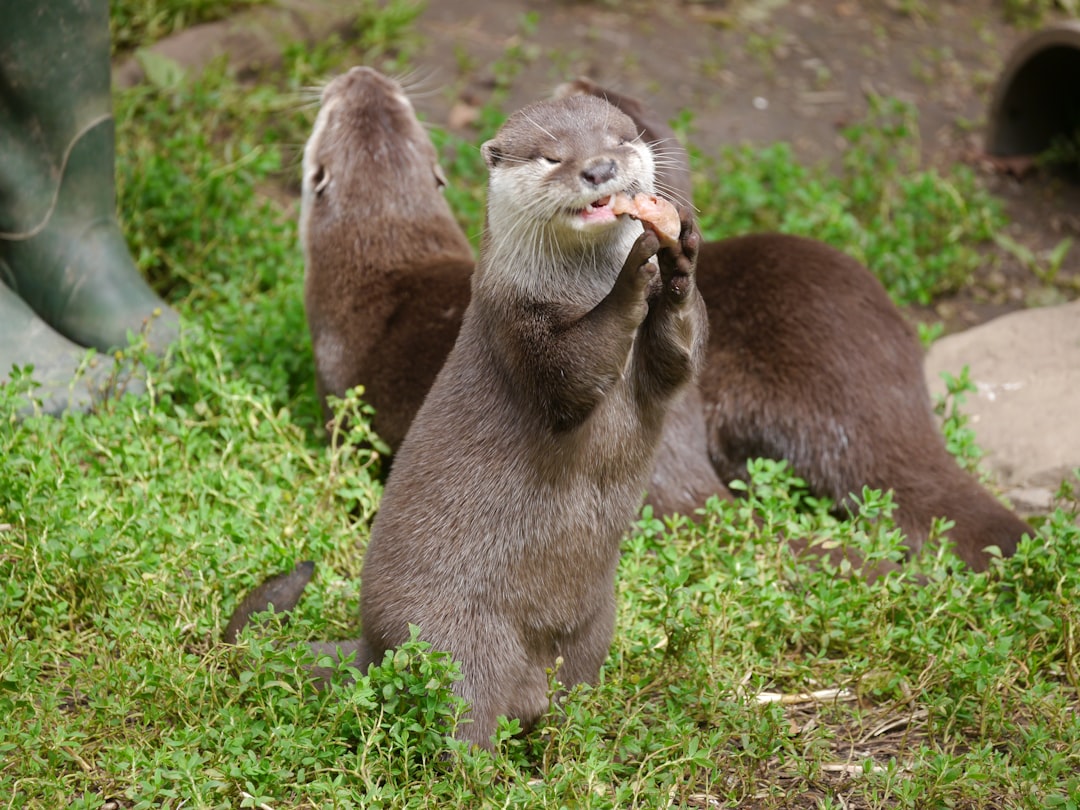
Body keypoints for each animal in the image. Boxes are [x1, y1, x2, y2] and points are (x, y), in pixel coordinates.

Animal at [240, 94, 706, 749]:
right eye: (552, 156)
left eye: (618, 140)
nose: (599, 170)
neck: (573, 288)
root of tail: (371, 646)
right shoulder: (514, 324)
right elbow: (570, 376)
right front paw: (635, 270)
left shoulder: (659, 377)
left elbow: (676, 362)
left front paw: (679, 254)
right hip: (456, 641)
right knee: (464, 718)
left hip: (595, 628)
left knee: (573, 689)